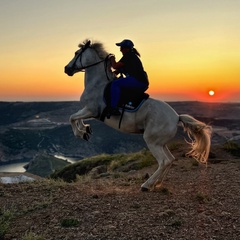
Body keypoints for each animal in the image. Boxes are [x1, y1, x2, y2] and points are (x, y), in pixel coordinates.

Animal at [64, 39, 212, 191]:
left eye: (76, 53)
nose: (66, 69)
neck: (97, 84)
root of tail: (176, 117)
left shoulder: (91, 110)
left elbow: (72, 117)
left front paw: (80, 133)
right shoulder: (89, 111)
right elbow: (77, 117)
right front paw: (86, 130)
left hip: (152, 141)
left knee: (164, 161)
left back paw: (147, 185)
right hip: (161, 142)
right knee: (171, 159)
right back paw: (157, 183)